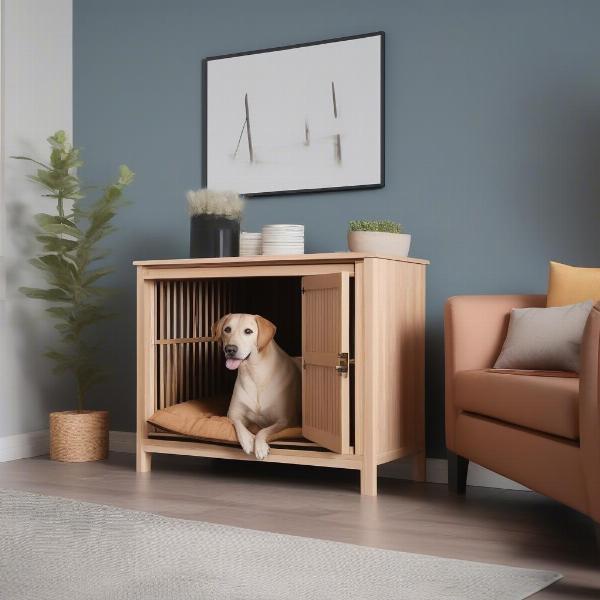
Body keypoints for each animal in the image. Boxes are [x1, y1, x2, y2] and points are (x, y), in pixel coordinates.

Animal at [213, 314, 302, 460]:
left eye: (248, 331)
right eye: (227, 329)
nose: (230, 349)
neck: (255, 374)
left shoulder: (285, 420)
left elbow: (264, 430)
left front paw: (260, 446)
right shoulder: (232, 413)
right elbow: (238, 423)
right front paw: (248, 440)